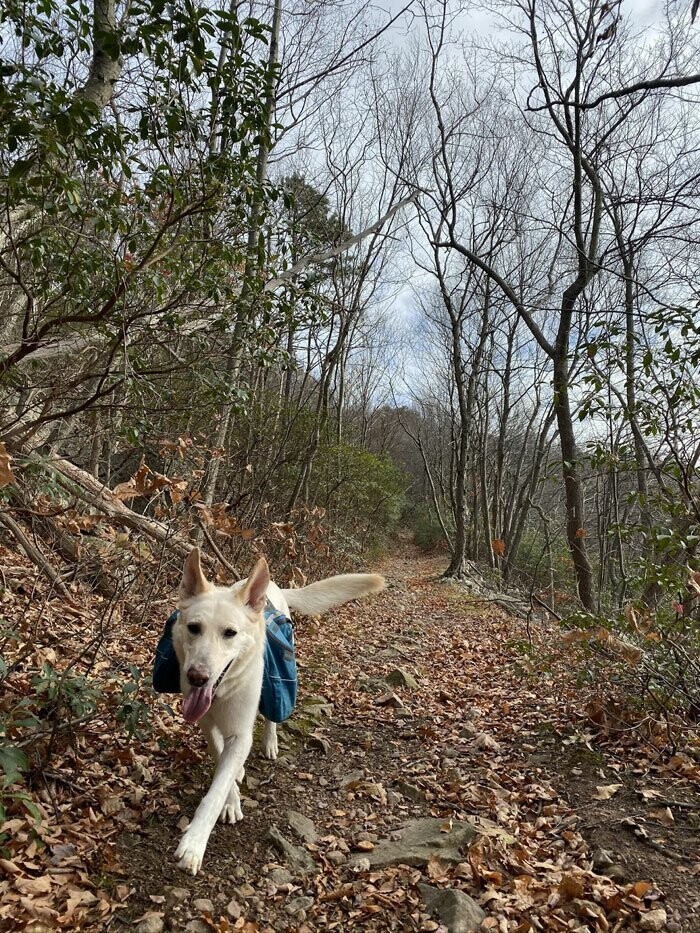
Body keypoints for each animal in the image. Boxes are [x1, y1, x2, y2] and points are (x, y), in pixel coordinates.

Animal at [172, 548, 386, 872]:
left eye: (230, 633)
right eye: (193, 628)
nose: (197, 677)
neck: (223, 693)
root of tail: (275, 587)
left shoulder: (241, 732)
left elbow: (216, 790)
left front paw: (194, 843)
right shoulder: (207, 725)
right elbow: (221, 760)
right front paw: (232, 798)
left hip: (274, 683)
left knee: (271, 716)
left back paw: (270, 742)